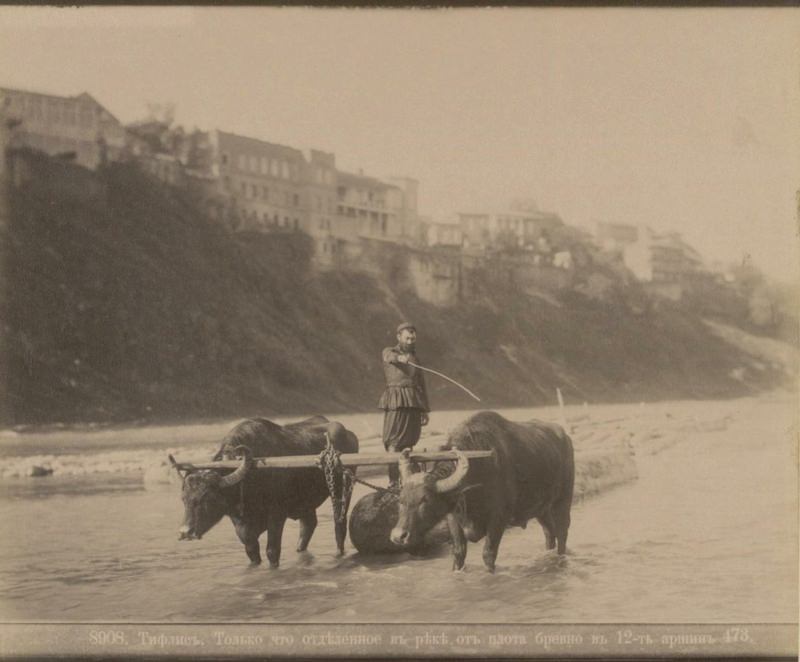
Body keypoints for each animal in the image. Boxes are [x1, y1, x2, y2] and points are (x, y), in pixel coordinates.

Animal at [173, 418, 358, 568]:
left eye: (207, 497)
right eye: (184, 499)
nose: (185, 532)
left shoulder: (277, 514)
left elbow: (272, 550)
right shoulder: (240, 524)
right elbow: (252, 551)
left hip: (343, 488)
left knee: (339, 525)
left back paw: (339, 553)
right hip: (305, 503)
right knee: (308, 526)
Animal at [390, 412, 572, 572]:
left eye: (425, 500)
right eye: (401, 500)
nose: (398, 536)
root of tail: (565, 436)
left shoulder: (499, 518)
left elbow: (488, 554)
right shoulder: (453, 517)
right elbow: (458, 553)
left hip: (563, 500)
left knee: (562, 532)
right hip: (542, 509)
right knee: (549, 533)